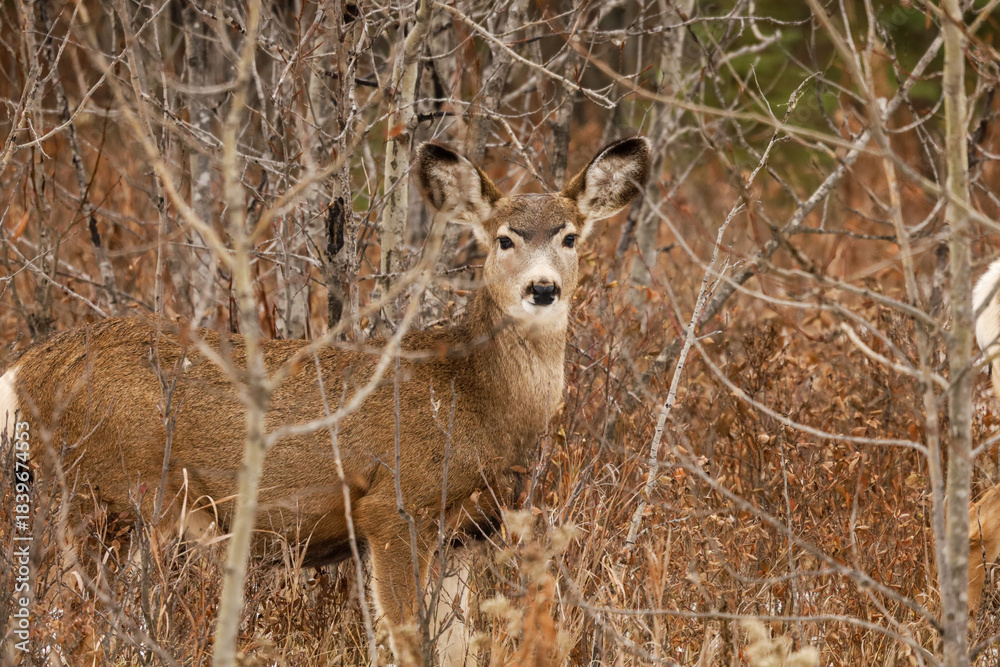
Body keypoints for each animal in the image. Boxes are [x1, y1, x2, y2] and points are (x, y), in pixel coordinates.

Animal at [0, 136, 651, 661]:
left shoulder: (469, 533)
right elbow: (410, 641)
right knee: (66, 619)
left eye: (570, 236)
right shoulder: (394, 508)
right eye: (504, 239)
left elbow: (462, 645)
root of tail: (23, 370)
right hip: (104, 493)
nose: (542, 289)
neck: (470, 399)